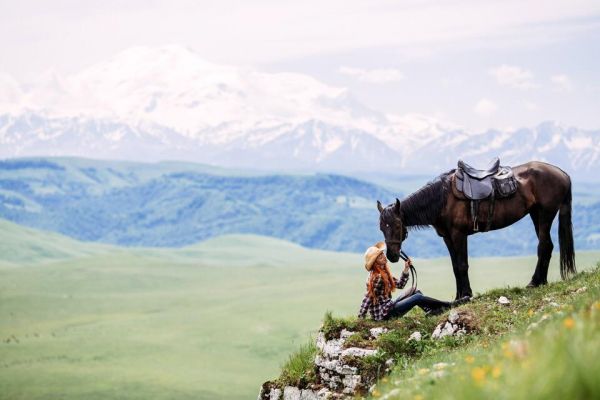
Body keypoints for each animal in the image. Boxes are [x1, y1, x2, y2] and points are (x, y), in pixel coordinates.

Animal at [378, 161, 576, 298]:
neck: (442, 199)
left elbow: (462, 265)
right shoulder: (447, 237)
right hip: (536, 215)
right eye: (381, 228)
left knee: (543, 246)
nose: (392, 256)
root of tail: (563, 174)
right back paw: (540, 281)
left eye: (397, 225)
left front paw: (466, 295)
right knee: (547, 246)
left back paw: (534, 282)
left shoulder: (459, 235)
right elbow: (455, 267)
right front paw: (458, 297)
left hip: (545, 215)